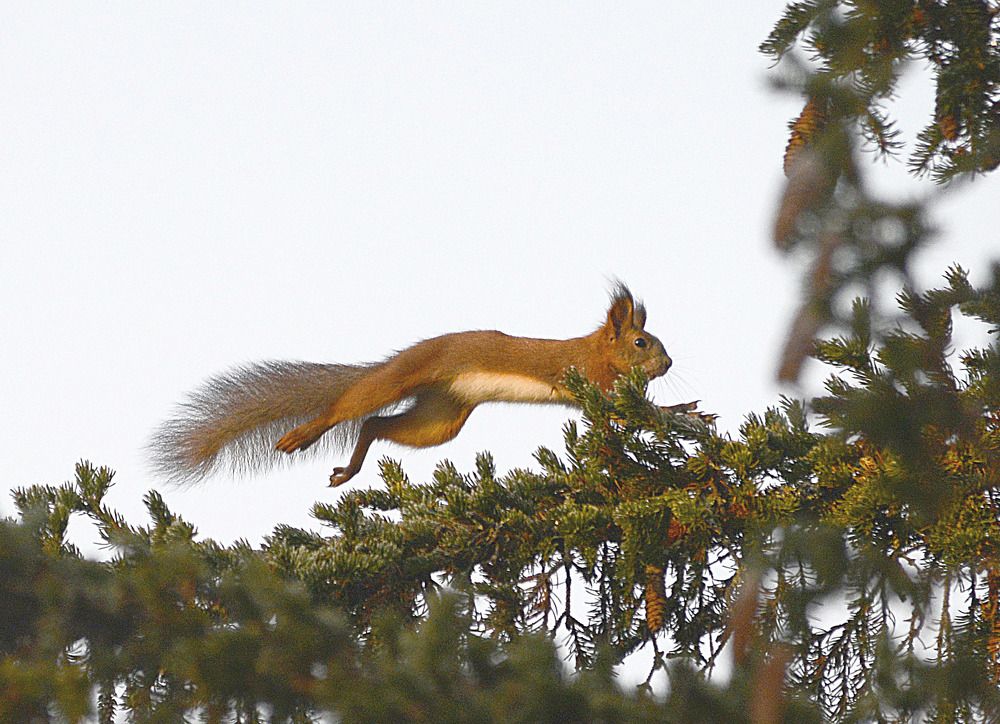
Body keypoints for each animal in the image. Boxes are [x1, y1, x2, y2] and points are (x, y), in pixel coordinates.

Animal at [151, 284, 673, 487]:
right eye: (642, 342)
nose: (668, 364)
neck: (596, 351)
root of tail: (399, 358)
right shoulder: (590, 379)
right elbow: (615, 408)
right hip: (402, 380)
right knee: (348, 408)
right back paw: (303, 435)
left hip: (439, 417)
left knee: (375, 426)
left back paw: (348, 471)